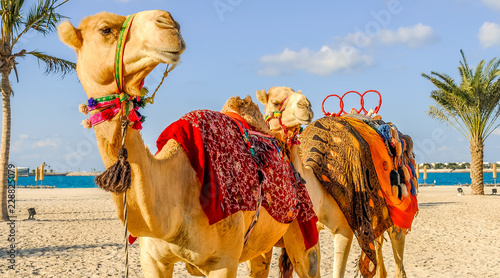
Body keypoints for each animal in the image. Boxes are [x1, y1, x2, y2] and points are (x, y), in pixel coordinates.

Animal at [56, 10, 318, 278]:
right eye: (105, 29)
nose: (168, 21)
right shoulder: (152, 258)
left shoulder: (224, 260)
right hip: (262, 244)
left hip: (303, 226)